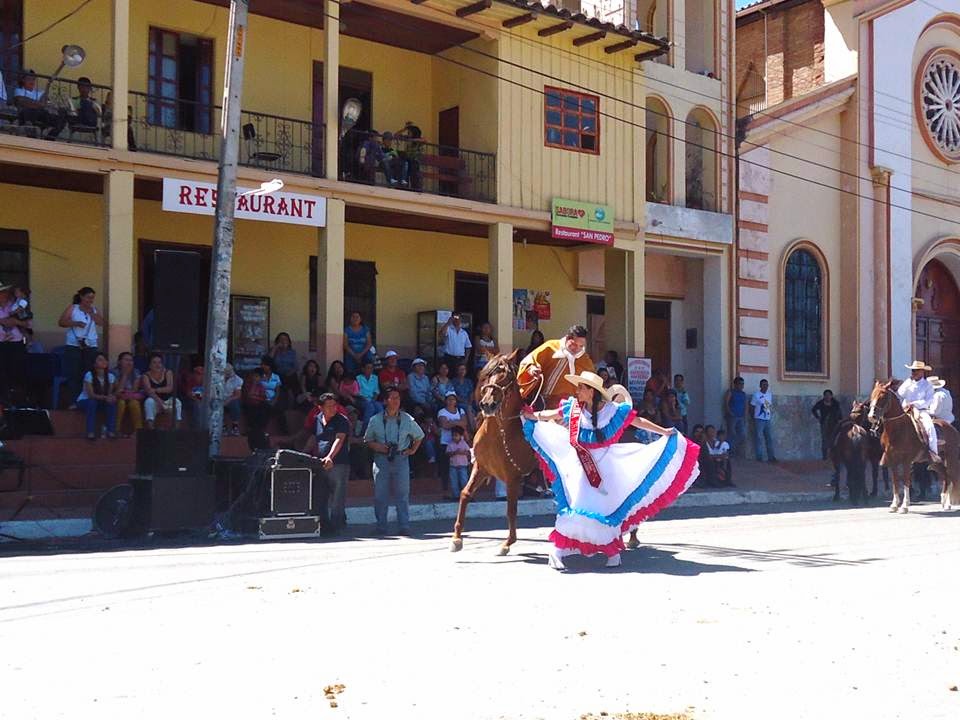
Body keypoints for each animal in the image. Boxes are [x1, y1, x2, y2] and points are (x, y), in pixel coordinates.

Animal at [450, 348, 540, 552]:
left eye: (506, 377)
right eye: (486, 375)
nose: (487, 404)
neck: (498, 435)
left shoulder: (513, 477)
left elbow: (511, 509)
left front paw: (507, 542)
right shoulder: (481, 468)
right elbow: (465, 493)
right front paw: (457, 538)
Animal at [864, 382, 960, 512]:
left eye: (883, 397)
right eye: (872, 396)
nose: (871, 416)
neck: (898, 430)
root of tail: (952, 428)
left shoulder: (906, 460)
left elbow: (906, 479)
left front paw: (904, 506)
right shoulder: (892, 460)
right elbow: (895, 481)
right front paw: (894, 505)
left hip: (951, 458)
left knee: (950, 476)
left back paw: (948, 503)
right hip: (937, 461)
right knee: (946, 477)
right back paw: (945, 503)